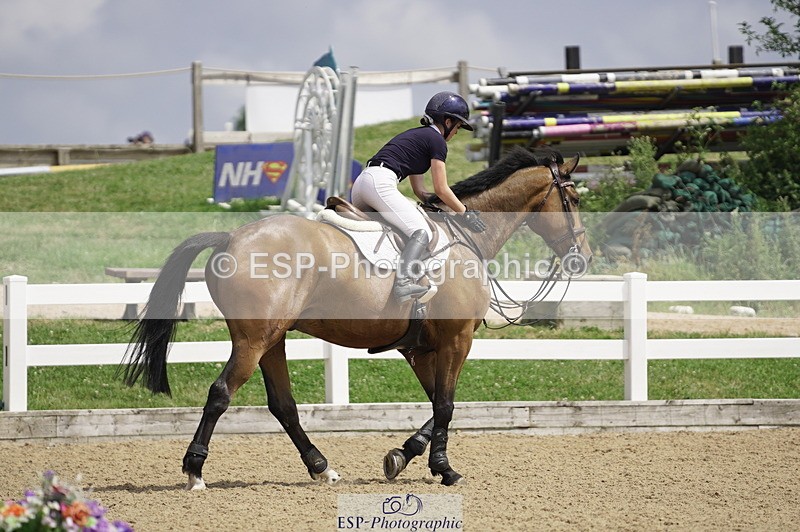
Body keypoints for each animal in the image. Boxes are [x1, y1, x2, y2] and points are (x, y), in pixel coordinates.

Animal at [120, 147, 592, 489]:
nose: (583, 258)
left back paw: (321, 467)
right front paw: (444, 469)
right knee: (221, 393)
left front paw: (403, 455)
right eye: (572, 198)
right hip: (254, 340)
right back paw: (195, 471)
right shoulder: (456, 340)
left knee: (283, 405)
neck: (466, 238)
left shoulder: (421, 349)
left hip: (273, 339)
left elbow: (437, 406)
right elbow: (446, 404)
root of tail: (231, 236)